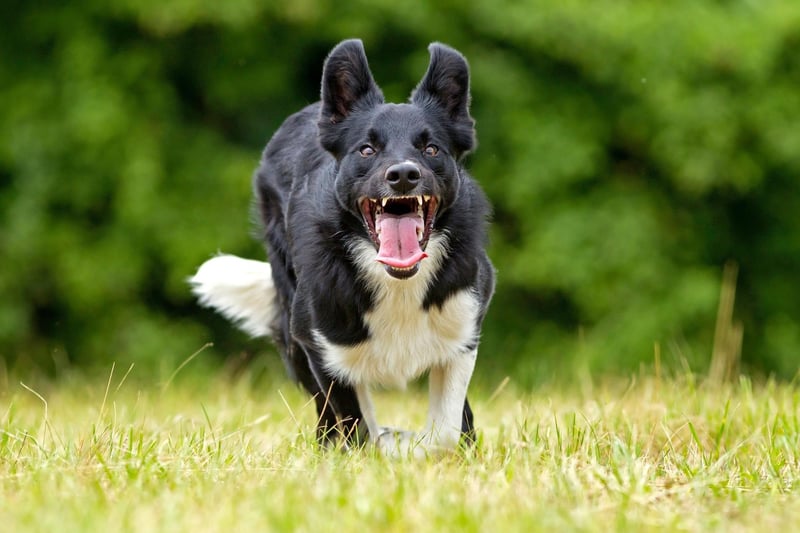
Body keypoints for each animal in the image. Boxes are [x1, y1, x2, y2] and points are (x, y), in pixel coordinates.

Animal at [194, 38, 494, 458]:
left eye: (432, 148)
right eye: (367, 150)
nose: (404, 174)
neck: (397, 280)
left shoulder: (464, 325)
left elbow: (446, 430)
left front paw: (411, 444)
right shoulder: (320, 344)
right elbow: (355, 423)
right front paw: (382, 446)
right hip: (292, 329)